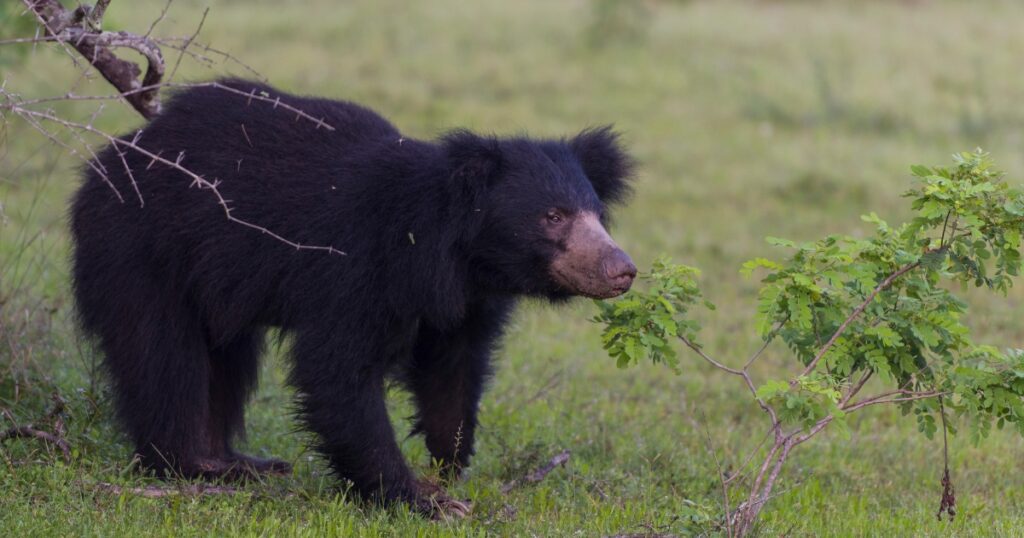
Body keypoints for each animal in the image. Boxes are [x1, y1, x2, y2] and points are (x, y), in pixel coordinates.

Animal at [68, 79, 634, 516]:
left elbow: (453, 368)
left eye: (596, 214)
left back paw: (240, 461)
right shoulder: (355, 267)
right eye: (553, 216)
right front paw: (419, 499)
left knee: (226, 359)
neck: (449, 252)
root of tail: (110, 159)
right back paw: (197, 465)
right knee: (162, 353)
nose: (622, 270)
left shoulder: (467, 301)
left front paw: (446, 464)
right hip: (141, 248)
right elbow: (338, 371)